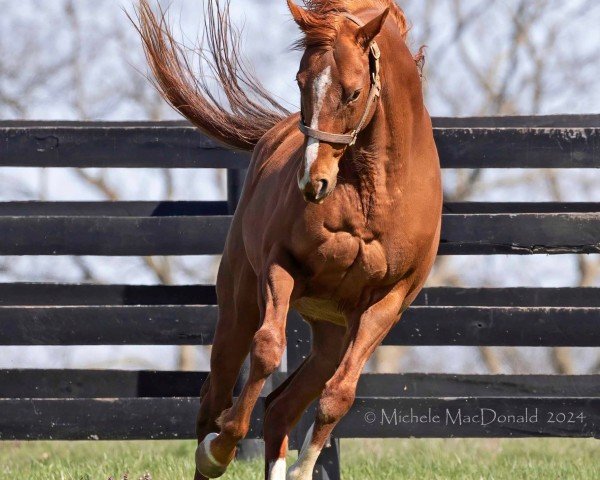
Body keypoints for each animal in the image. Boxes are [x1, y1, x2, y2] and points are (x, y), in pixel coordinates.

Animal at [138, 0, 442, 478]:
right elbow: (267, 350)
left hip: (332, 336)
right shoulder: (282, 266)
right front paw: (222, 447)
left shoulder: (387, 301)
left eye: (353, 92)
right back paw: (211, 451)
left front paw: (303, 466)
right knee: (215, 396)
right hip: (239, 307)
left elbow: (339, 394)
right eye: (301, 81)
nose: (313, 182)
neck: (373, 192)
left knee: (283, 406)